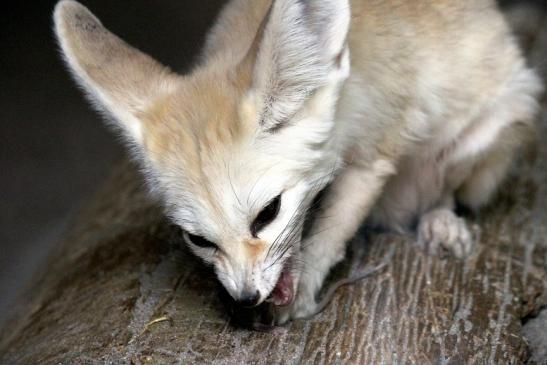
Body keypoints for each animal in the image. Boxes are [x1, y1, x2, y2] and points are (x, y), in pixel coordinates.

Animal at [53, 0, 540, 324]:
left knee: (443, 190)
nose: (246, 298)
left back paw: (440, 221)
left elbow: (330, 234)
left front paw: (304, 291)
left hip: (485, 133)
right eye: (199, 240)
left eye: (268, 214)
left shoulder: (372, 160)